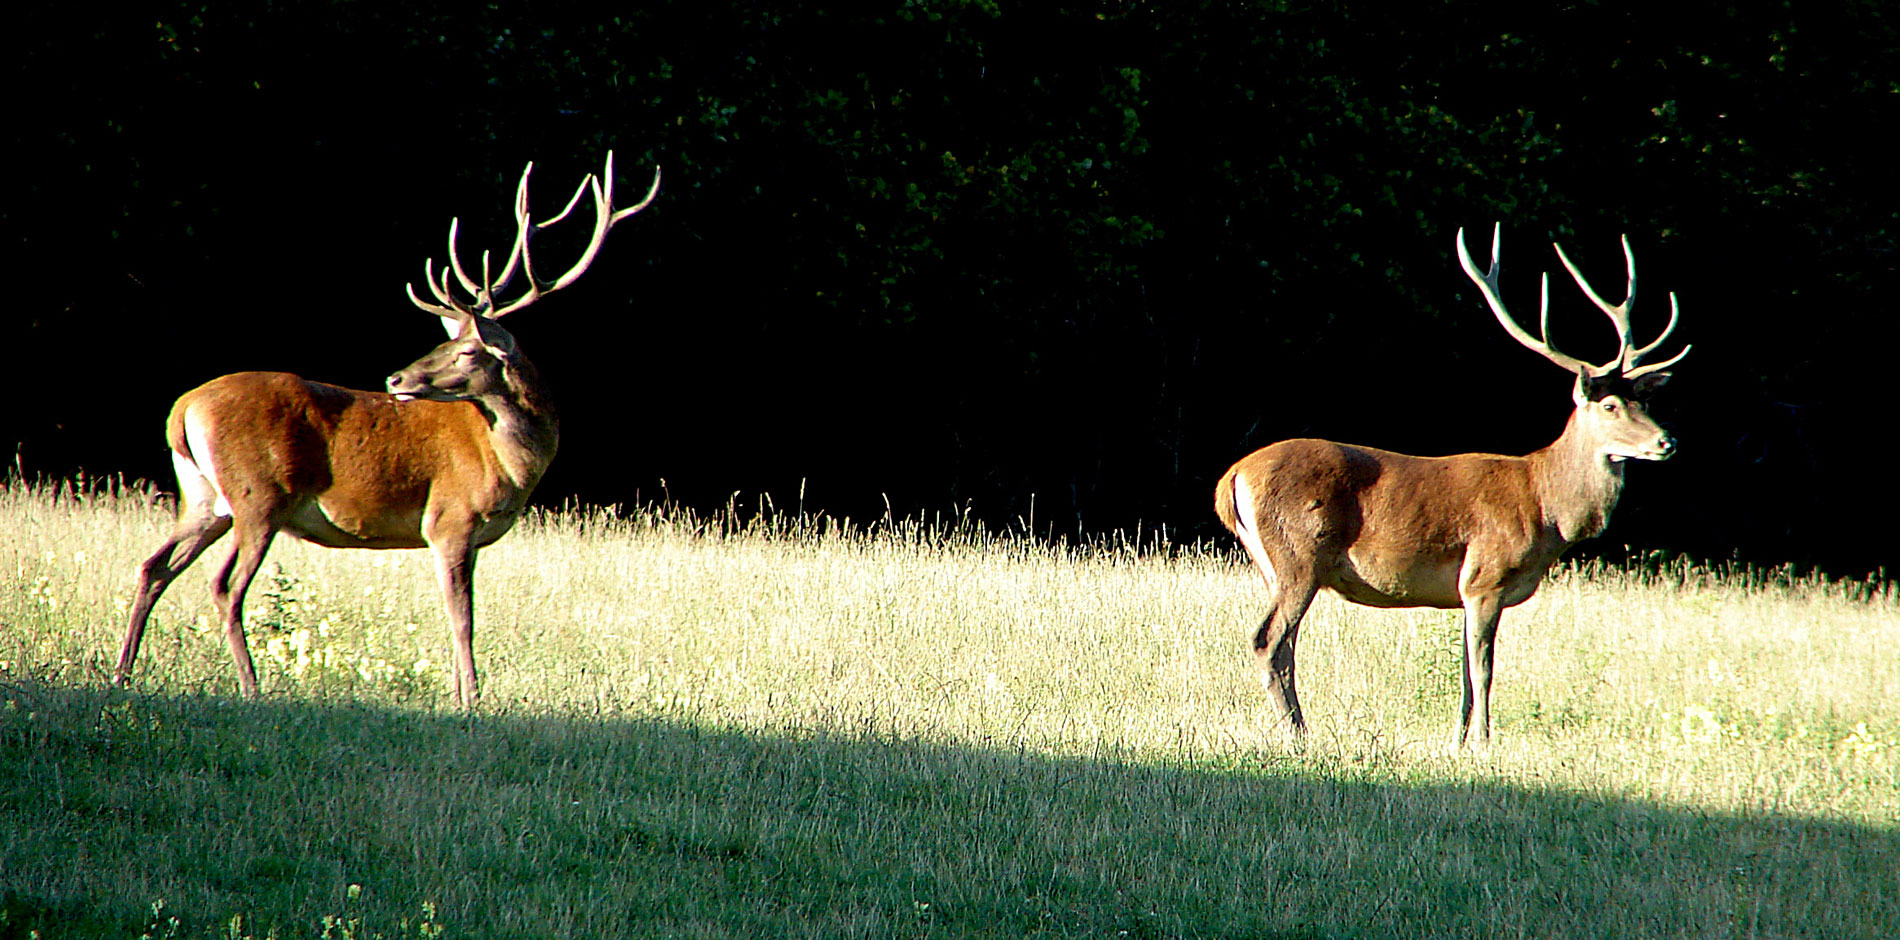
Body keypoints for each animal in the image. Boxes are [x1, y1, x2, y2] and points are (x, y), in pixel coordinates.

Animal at [114, 150, 661, 706]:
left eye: (466, 350)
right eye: (448, 342)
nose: (396, 378)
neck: (508, 463)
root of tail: (182, 410)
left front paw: (462, 695)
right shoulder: (449, 519)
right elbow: (463, 619)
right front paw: (471, 700)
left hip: (204, 499)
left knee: (153, 566)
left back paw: (123, 673)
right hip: (259, 495)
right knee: (225, 586)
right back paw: (250, 686)